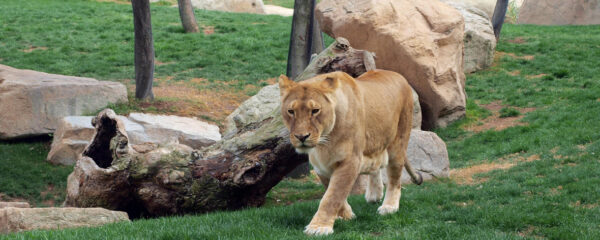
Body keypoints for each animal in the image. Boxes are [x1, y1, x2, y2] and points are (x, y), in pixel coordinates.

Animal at [280, 70, 424, 236]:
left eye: (315, 110)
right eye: (291, 111)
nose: (301, 137)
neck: (325, 141)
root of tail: (397, 75)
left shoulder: (350, 160)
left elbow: (333, 195)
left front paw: (319, 227)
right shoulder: (321, 166)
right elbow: (332, 191)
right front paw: (347, 216)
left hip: (398, 142)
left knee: (395, 178)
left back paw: (389, 207)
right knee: (376, 163)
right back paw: (374, 195)